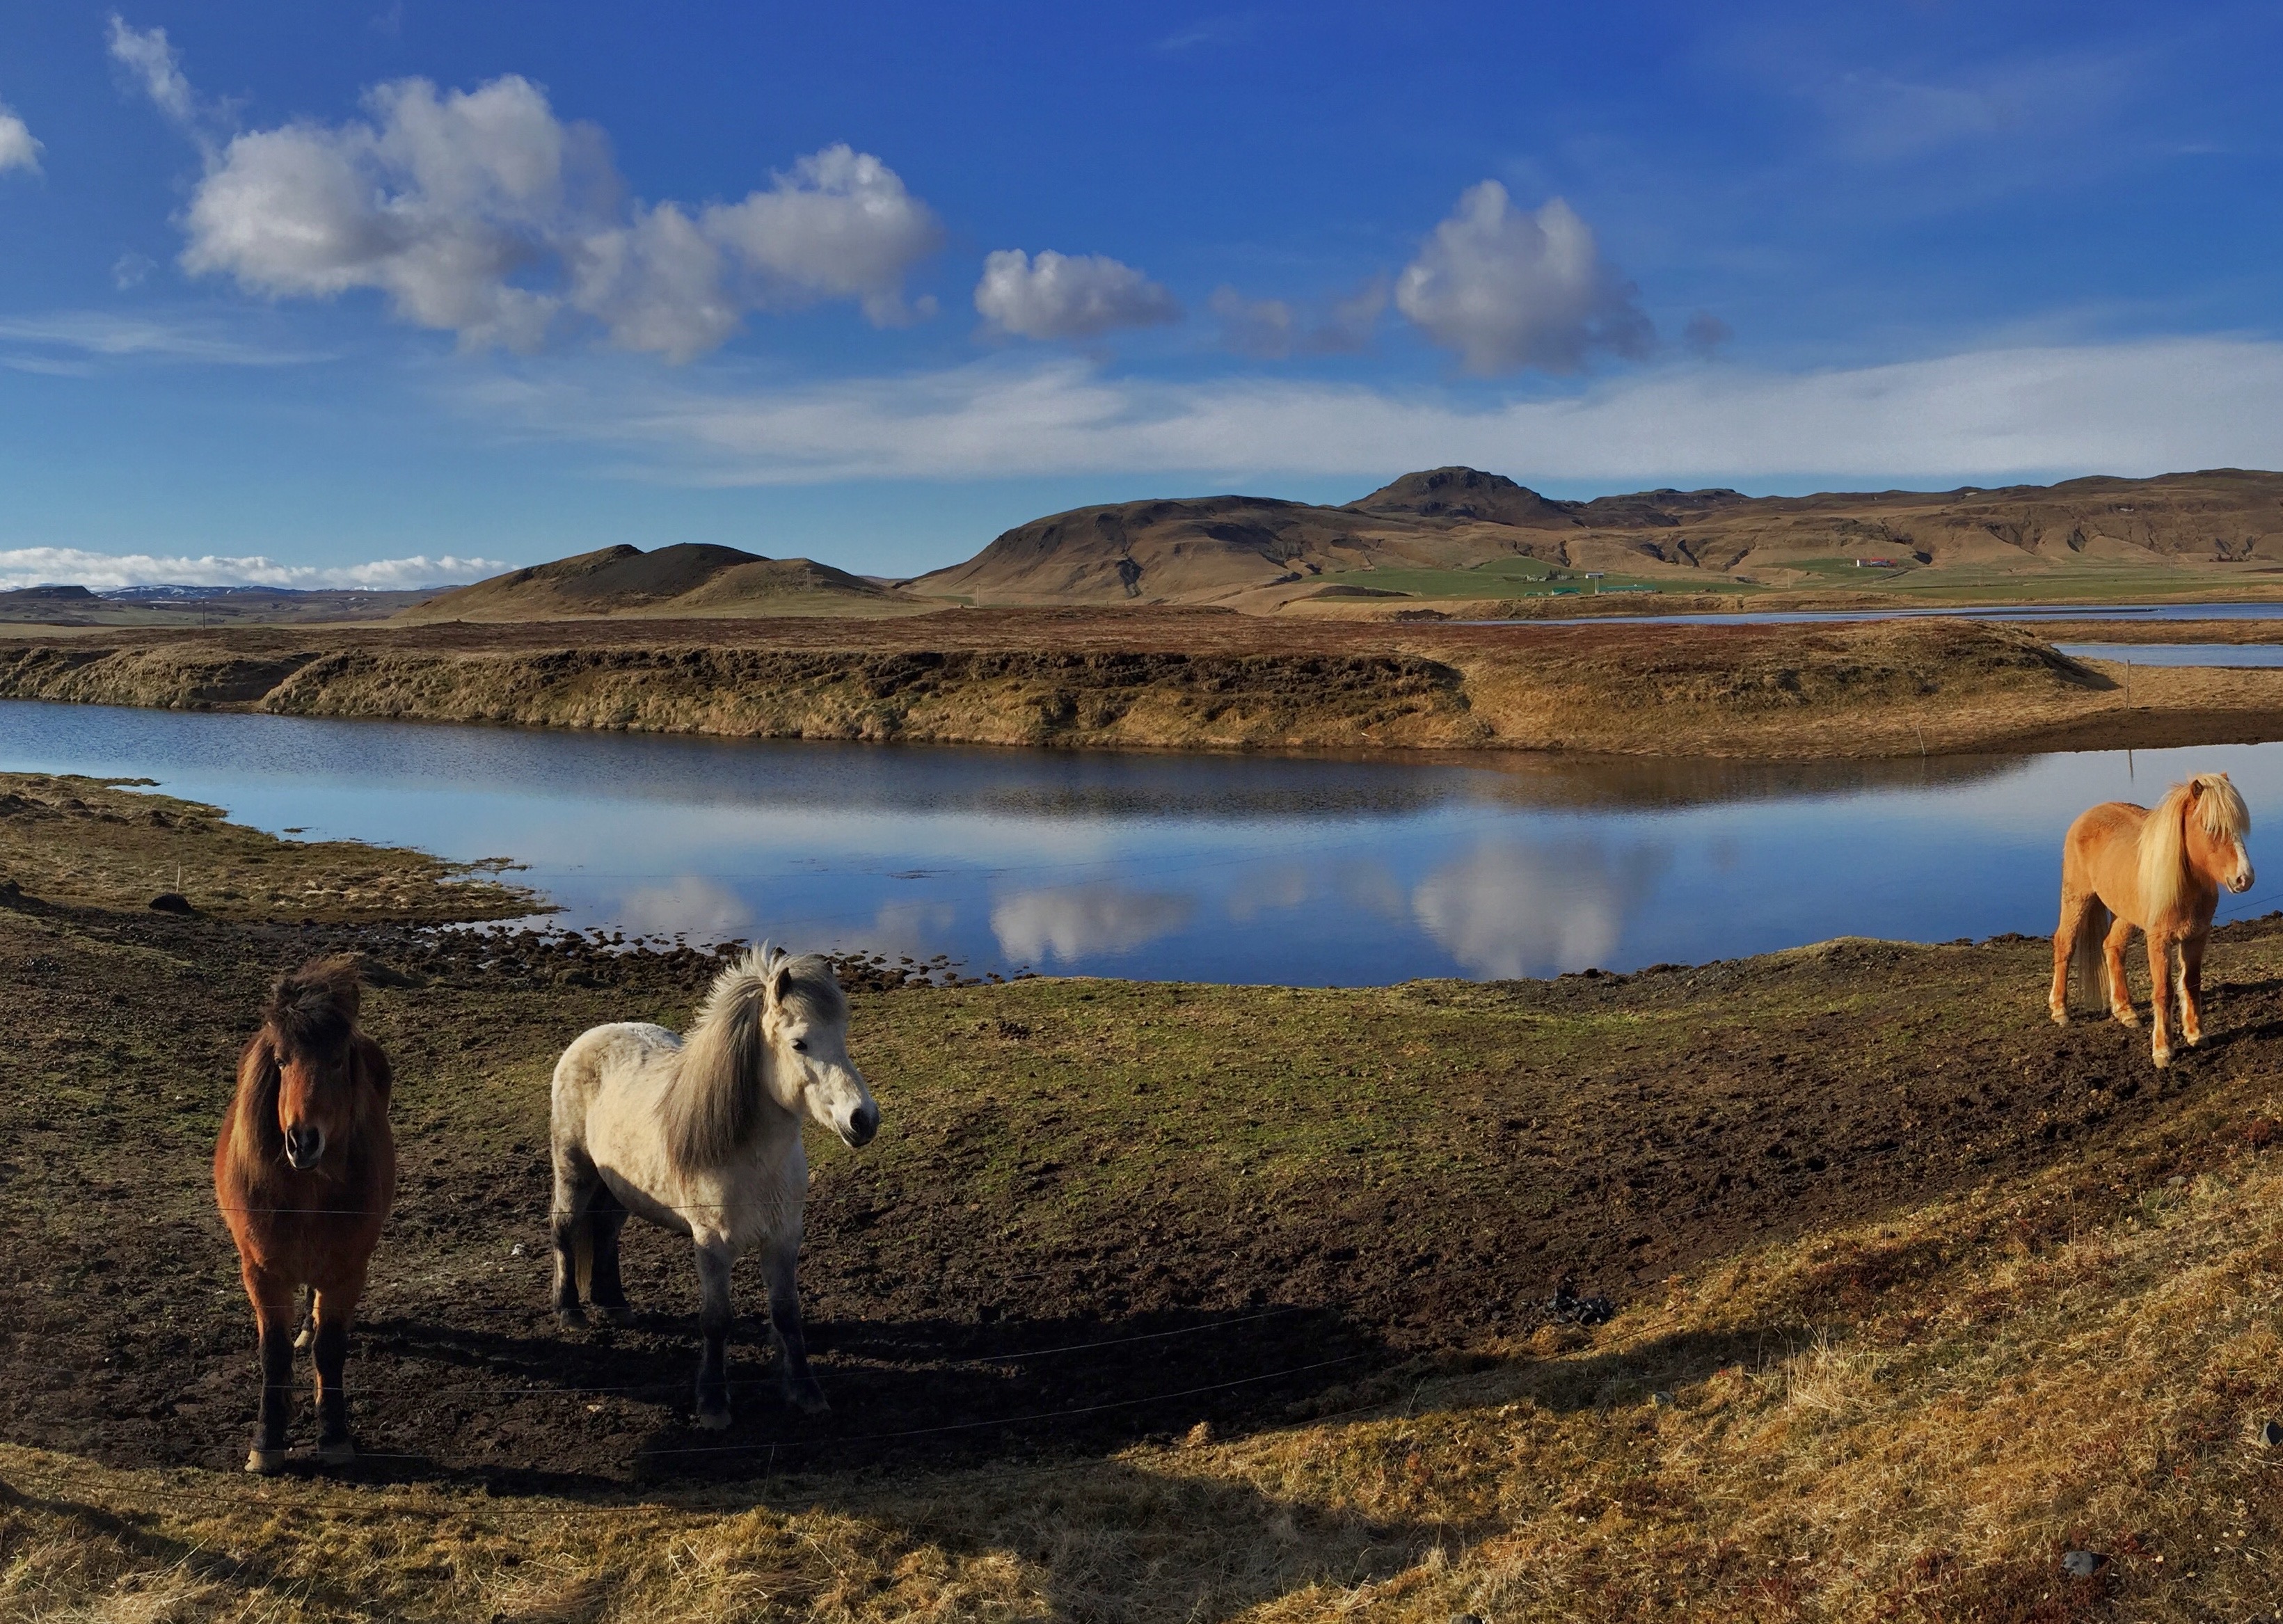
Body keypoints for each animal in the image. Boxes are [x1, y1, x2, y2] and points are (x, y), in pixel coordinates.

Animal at [214, 957, 396, 1474]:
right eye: (281, 1062)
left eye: (336, 1061)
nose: (303, 1140)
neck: (307, 1193)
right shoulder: (262, 1273)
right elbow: (272, 1354)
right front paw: (266, 1442)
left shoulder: (346, 1270)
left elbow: (329, 1350)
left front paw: (334, 1437)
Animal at [548, 945, 878, 1429]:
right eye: (799, 1043)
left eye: (843, 1037)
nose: (863, 1120)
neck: (752, 1160)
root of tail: (592, 1037)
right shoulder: (713, 1244)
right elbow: (716, 1320)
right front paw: (713, 1403)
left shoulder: (783, 1238)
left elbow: (787, 1314)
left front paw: (805, 1392)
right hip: (575, 1171)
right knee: (566, 1230)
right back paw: (570, 1309)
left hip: (618, 1190)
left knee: (605, 1235)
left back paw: (615, 1305)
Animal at [2050, 771, 2254, 1067]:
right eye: (2209, 826)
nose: (2244, 878)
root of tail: (2086, 816)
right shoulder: (2159, 940)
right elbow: (2163, 990)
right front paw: (2163, 1050)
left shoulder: (2197, 936)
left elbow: (2191, 983)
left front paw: (2197, 1035)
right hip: (2077, 898)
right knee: (2065, 944)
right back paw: (2060, 1010)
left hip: (2124, 914)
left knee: (2113, 947)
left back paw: (2126, 1011)